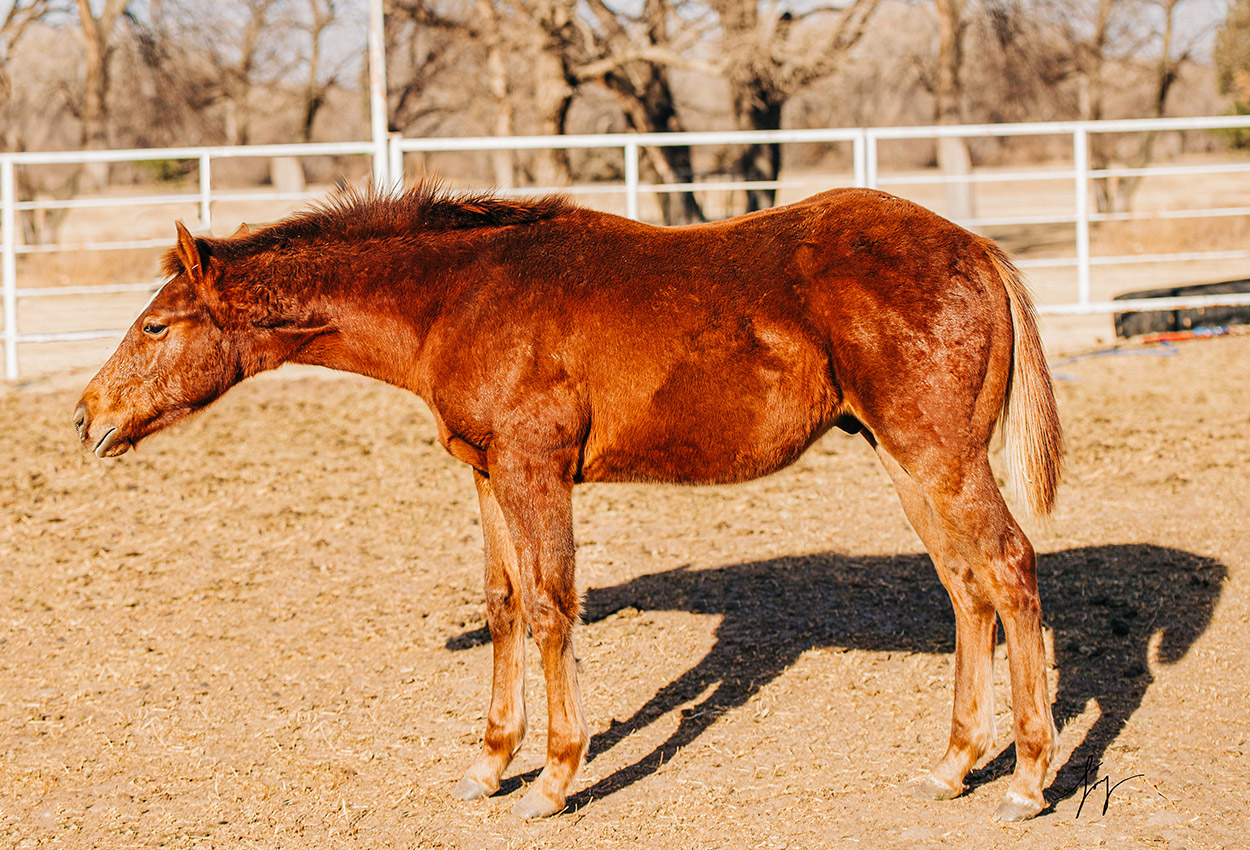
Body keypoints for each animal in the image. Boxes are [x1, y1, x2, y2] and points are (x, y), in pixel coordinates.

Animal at [74, 182, 1063, 821]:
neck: (458, 298)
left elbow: (553, 607)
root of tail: (977, 249)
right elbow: (506, 604)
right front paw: (487, 767)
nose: (88, 417)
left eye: (156, 325)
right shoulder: (485, 474)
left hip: (938, 457)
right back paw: (953, 767)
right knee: (966, 587)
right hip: (905, 461)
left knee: (1009, 569)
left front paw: (552, 780)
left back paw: (1027, 780)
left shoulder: (534, 469)